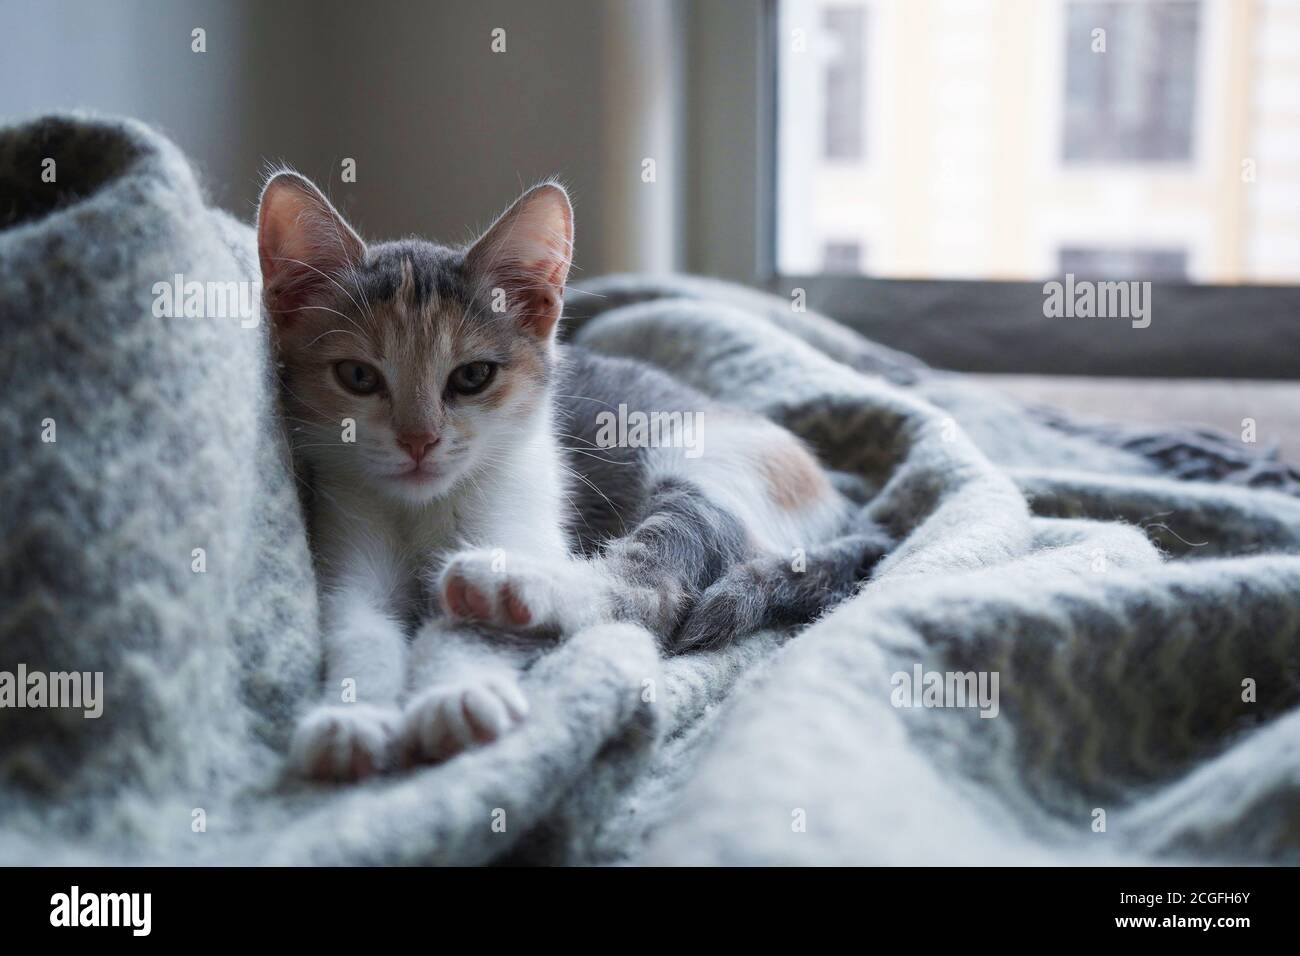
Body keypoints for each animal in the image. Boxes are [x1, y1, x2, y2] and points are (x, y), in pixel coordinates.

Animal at [261, 174, 894, 780]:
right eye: (357, 376)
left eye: (472, 376)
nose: (419, 440)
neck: (423, 508)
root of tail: (845, 503)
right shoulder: (347, 559)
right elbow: (359, 631)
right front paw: (353, 718)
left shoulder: (522, 517)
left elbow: (466, 628)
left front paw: (457, 693)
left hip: (707, 466)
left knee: (655, 593)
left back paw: (511, 583)